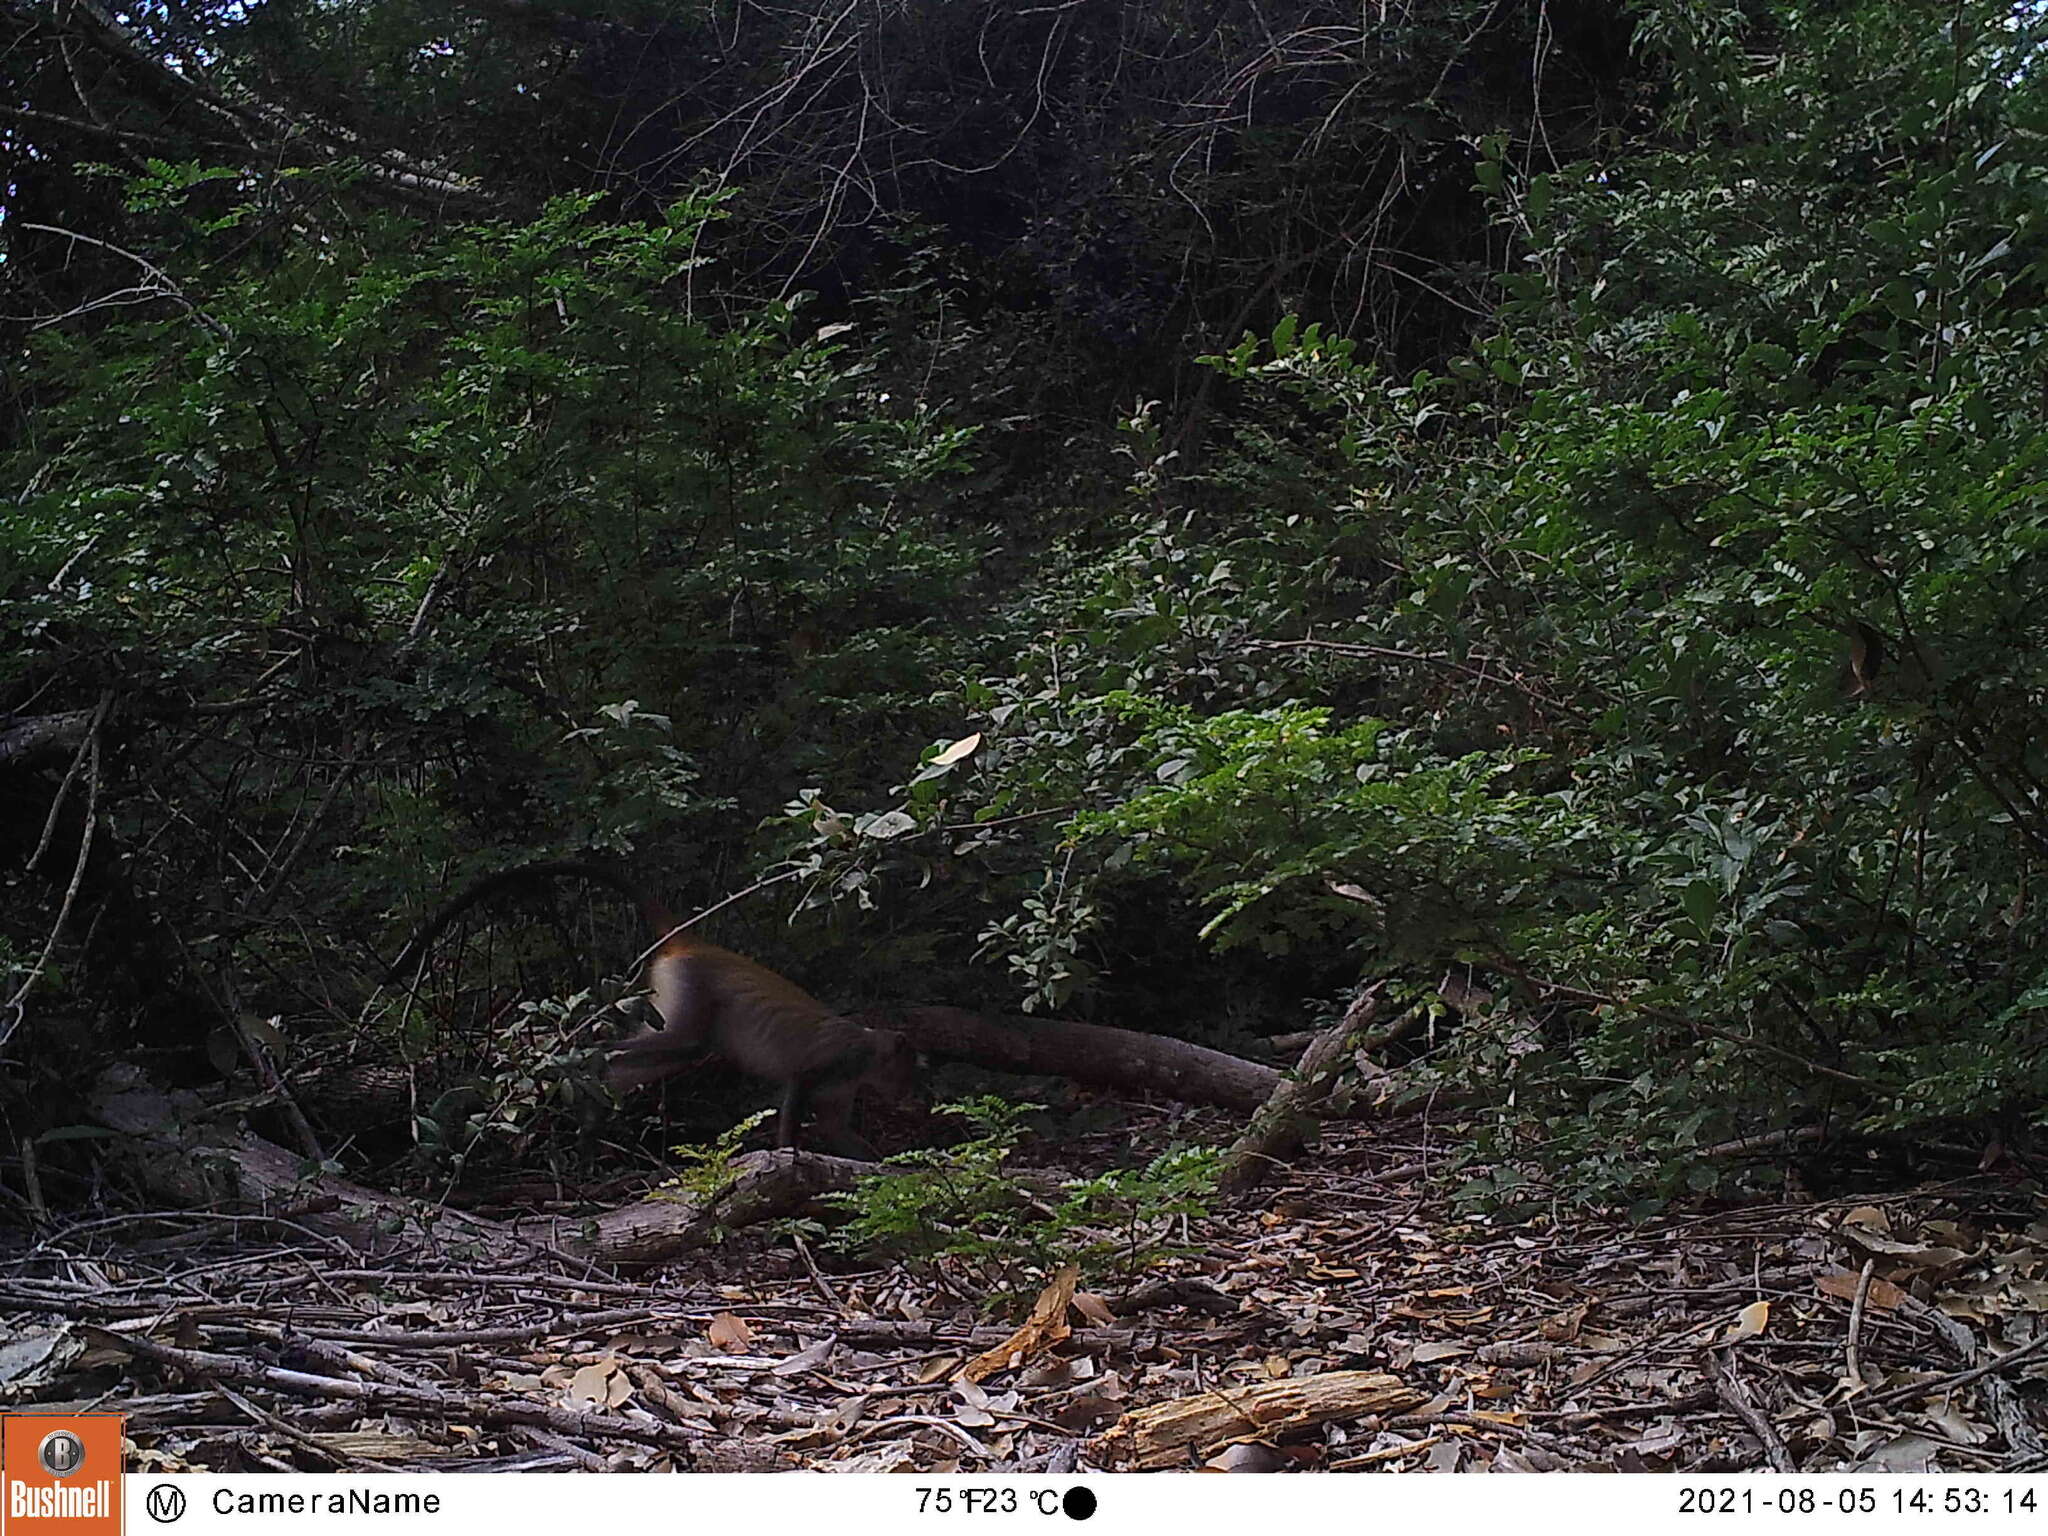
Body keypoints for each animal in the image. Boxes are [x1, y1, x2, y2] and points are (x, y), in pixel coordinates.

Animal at [387, 860, 917, 1163]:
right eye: (907, 1070)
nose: (909, 1095)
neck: (868, 1049)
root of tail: (694, 943)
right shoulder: (837, 1061)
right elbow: (795, 1088)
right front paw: (787, 1158)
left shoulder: (845, 1084)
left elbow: (834, 1127)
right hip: (690, 983)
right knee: (673, 1044)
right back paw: (585, 1073)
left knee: (670, 1053)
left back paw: (589, 1123)